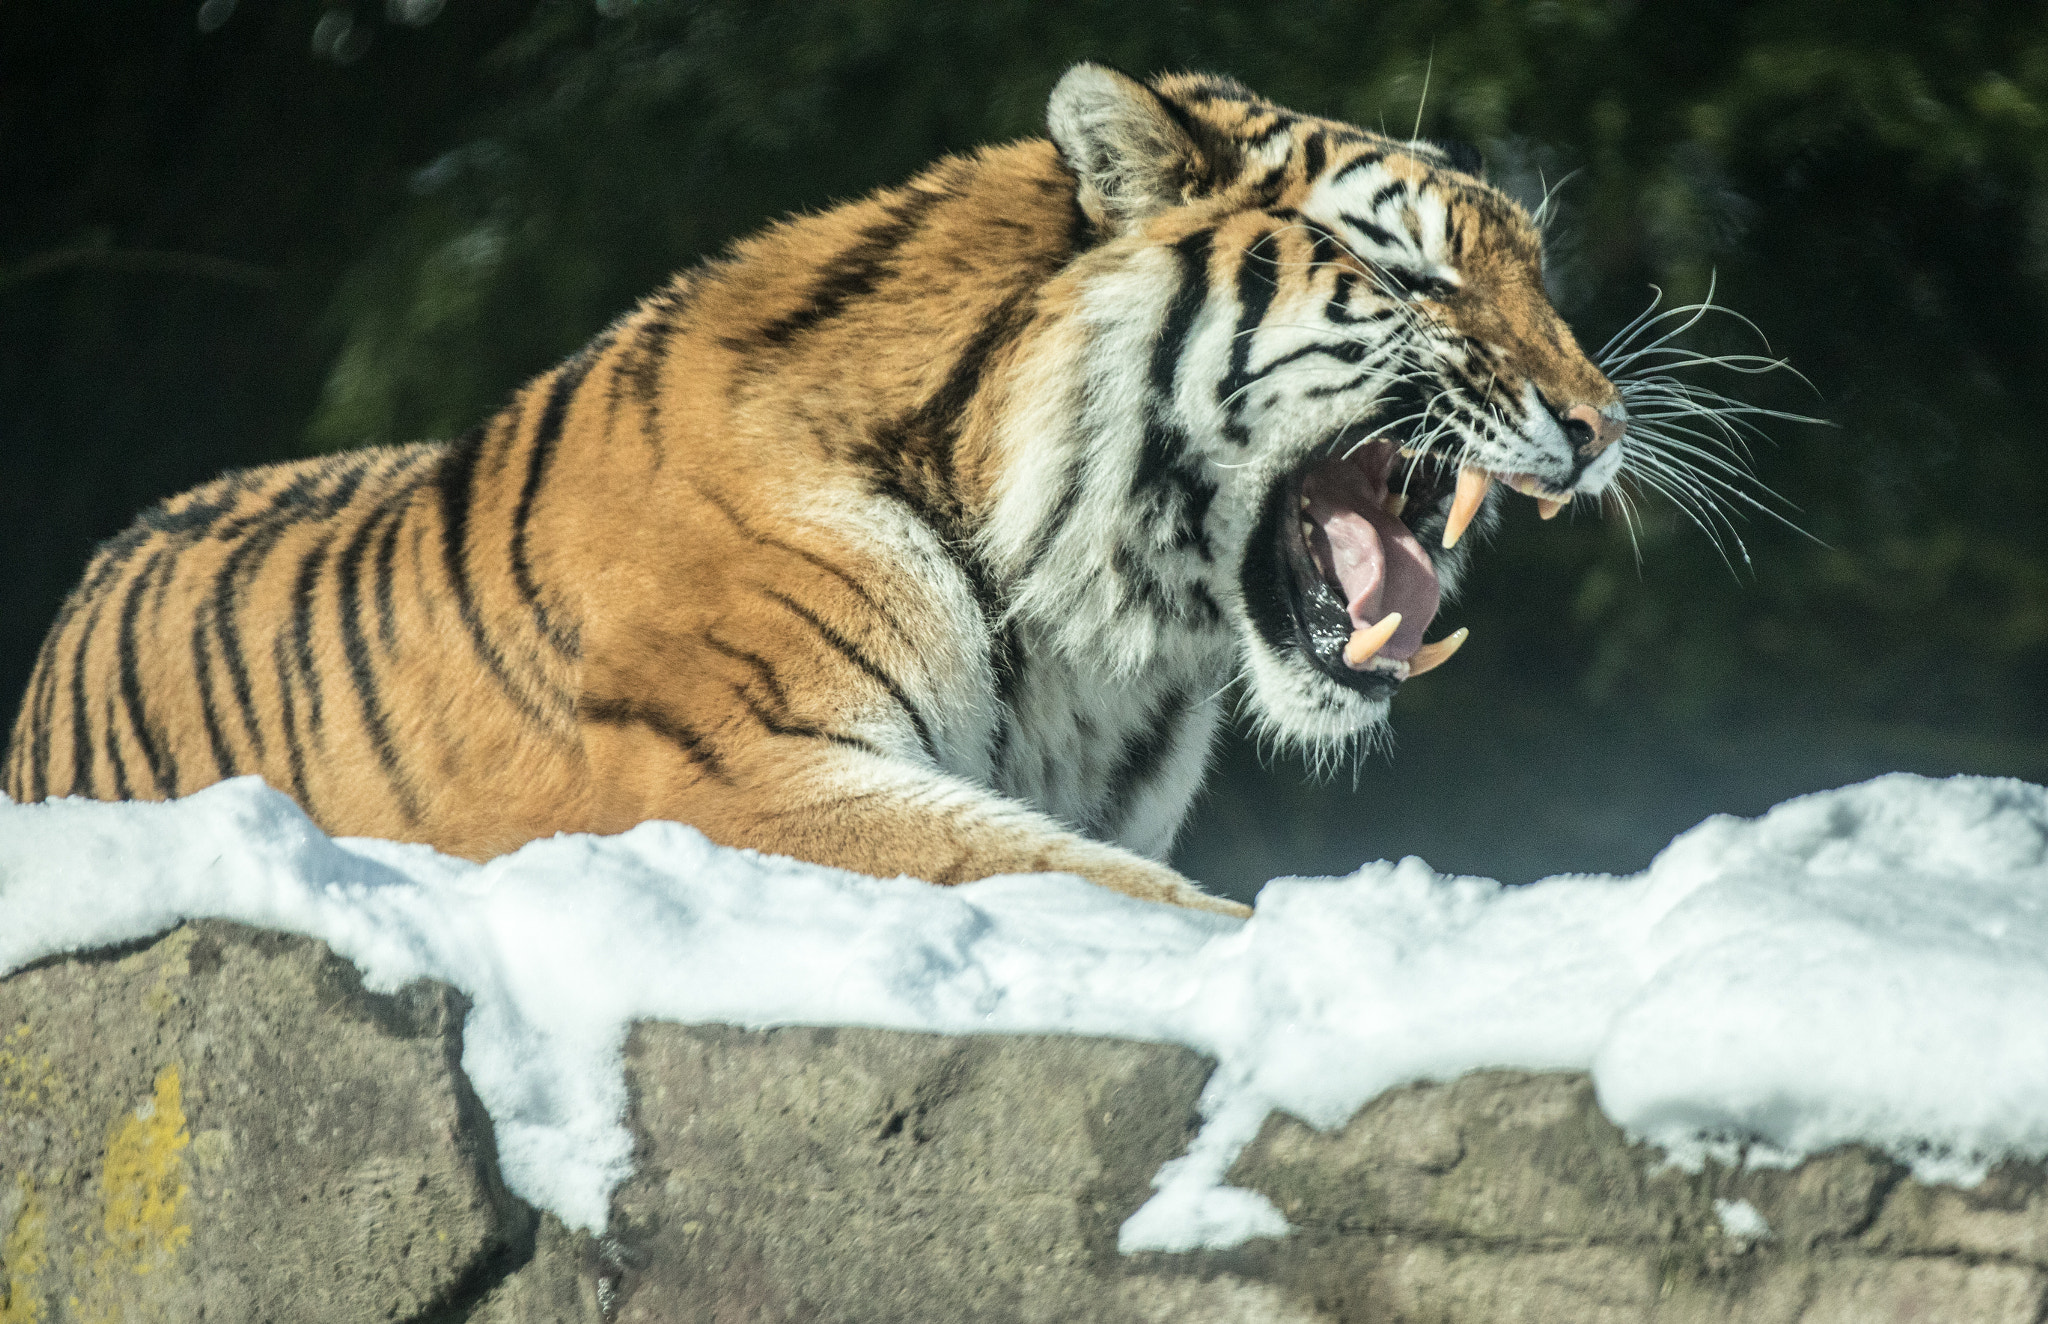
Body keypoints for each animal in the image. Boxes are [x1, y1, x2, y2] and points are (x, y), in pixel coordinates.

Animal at [4, 67, 1630, 922]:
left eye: (1536, 271)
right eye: (1413, 273)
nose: (1601, 425)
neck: (1088, 629)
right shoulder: (736, 776)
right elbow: (1122, 894)